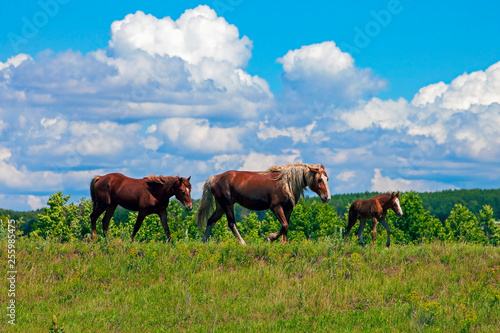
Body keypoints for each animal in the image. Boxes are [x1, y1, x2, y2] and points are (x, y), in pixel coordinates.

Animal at [196, 163, 332, 244]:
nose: (327, 198)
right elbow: (284, 225)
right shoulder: (275, 207)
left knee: (210, 220)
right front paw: (269, 238)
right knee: (231, 223)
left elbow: (286, 226)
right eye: (319, 180)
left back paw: (203, 242)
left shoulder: (288, 208)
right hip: (228, 204)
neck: (286, 183)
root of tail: (215, 178)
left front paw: (283, 243)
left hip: (221, 206)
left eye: (327, 179)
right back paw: (243, 243)